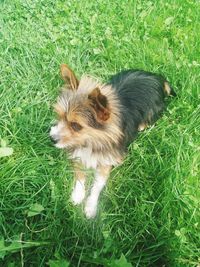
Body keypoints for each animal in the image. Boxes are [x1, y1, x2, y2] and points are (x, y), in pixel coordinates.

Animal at [50, 63, 175, 219]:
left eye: (76, 125)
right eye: (59, 116)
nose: (51, 138)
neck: (93, 141)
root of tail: (157, 78)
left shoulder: (106, 162)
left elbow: (97, 186)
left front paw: (91, 206)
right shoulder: (78, 154)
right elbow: (80, 175)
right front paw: (78, 194)